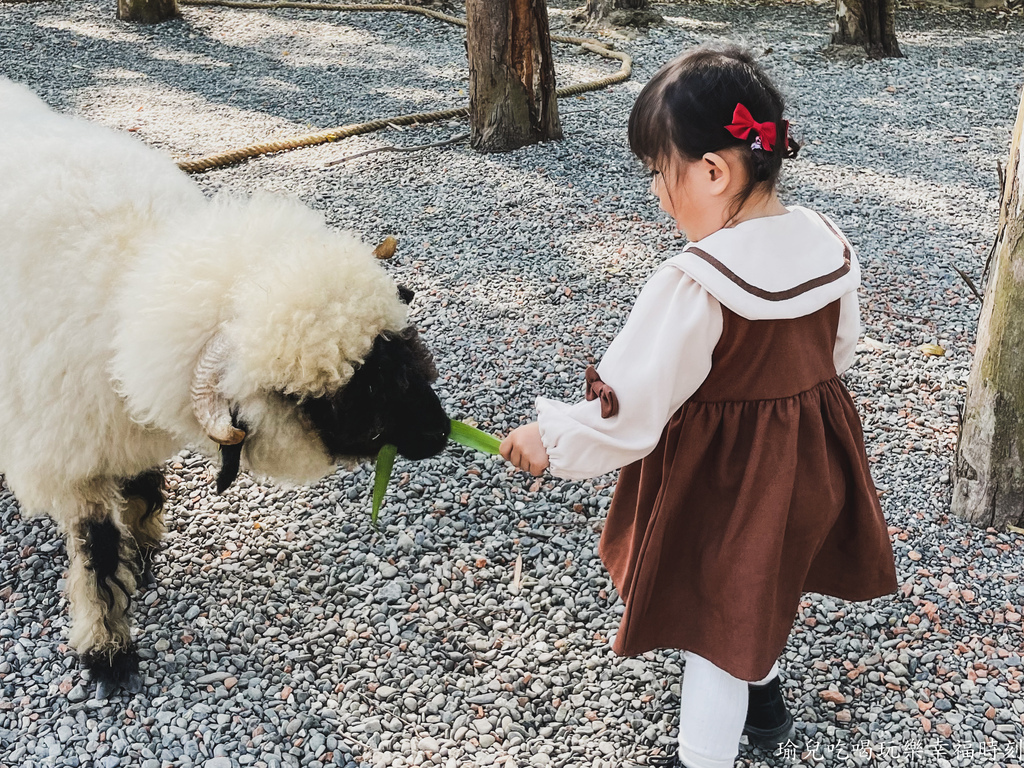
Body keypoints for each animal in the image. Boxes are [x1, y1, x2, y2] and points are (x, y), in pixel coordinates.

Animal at [0, 79, 448, 696]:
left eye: (400, 346)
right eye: (337, 397)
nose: (442, 432)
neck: (130, 283)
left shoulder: (128, 428)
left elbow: (143, 488)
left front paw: (144, 551)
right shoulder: (73, 462)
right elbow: (97, 553)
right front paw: (107, 650)